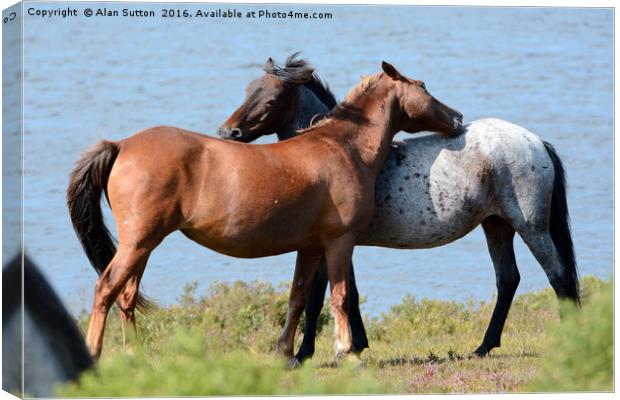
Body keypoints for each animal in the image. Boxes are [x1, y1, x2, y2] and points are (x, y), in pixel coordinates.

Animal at [69, 61, 460, 360]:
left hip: (143, 244)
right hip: (138, 242)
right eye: (423, 86)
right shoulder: (339, 241)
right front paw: (345, 351)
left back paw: (139, 357)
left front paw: (286, 354)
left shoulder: (310, 247)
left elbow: (298, 298)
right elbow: (340, 296)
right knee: (106, 289)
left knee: (126, 296)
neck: (342, 147)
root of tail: (121, 145)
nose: (456, 116)